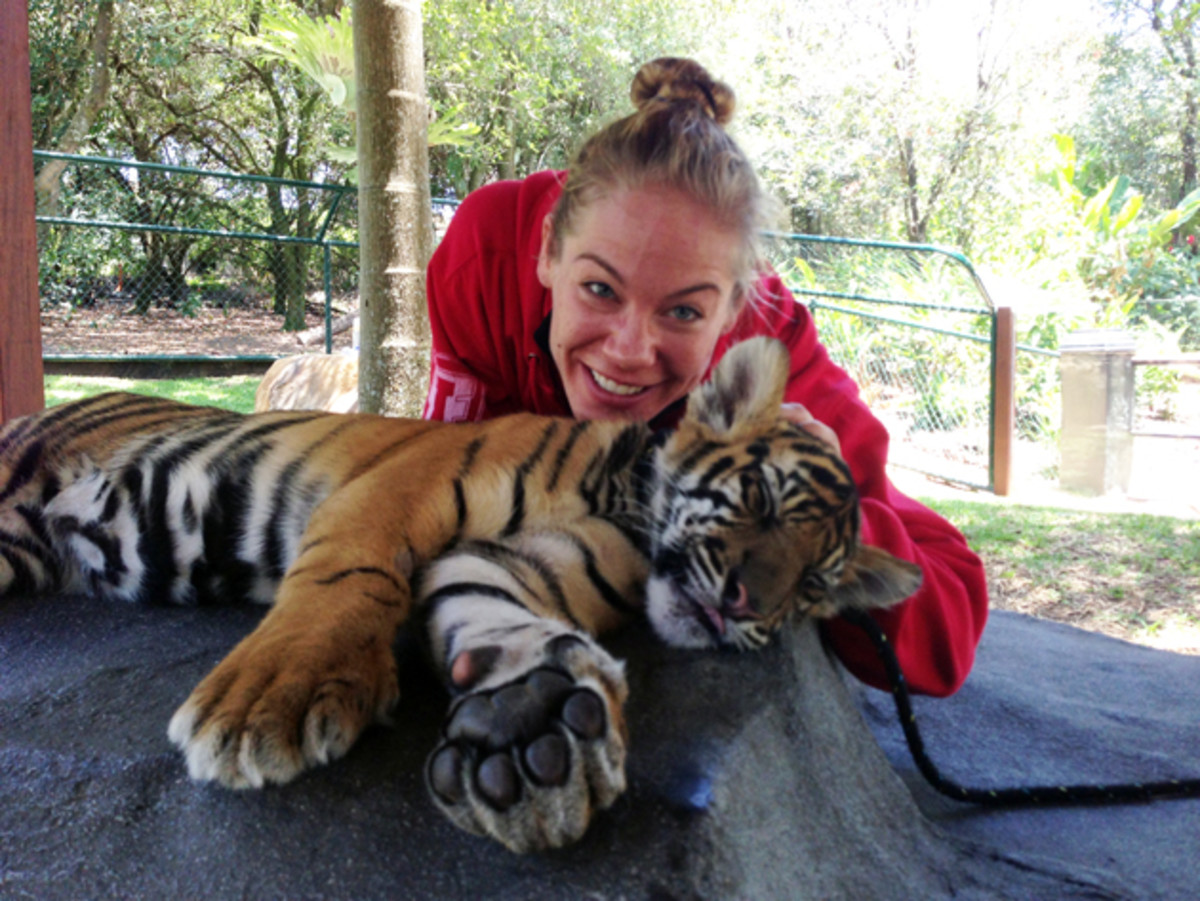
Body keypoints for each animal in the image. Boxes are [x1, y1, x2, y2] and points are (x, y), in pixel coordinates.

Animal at [0, 336, 921, 853]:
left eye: (812, 584)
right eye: (760, 499)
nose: (743, 606)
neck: (623, 508)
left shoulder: (524, 560)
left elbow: (492, 607)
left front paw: (531, 726)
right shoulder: (398, 489)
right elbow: (347, 579)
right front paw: (263, 705)